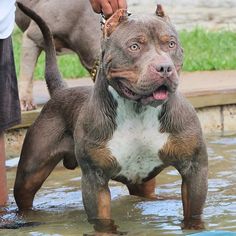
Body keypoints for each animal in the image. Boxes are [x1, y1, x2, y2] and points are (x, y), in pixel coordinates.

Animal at [14, 2, 208, 234]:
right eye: (134, 46)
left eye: (171, 44)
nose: (164, 68)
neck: (138, 110)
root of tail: (61, 90)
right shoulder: (94, 179)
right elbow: (102, 219)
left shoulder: (194, 168)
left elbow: (193, 212)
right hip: (29, 174)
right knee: (25, 195)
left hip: (143, 182)